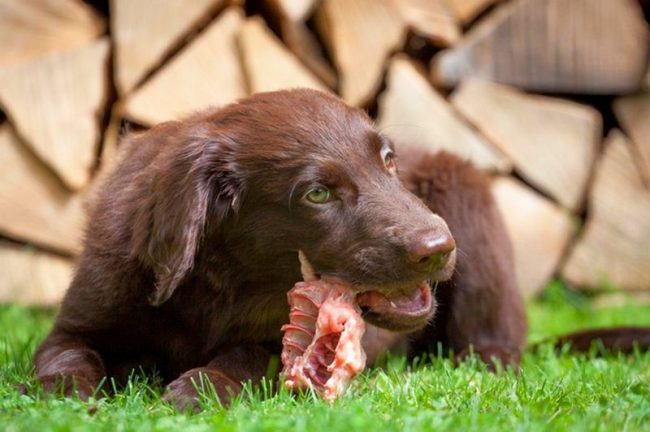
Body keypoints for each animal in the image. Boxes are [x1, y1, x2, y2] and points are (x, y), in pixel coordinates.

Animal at [31, 89, 528, 406]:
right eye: (317, 194)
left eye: (388, 162)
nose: (439, 248)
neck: (222, 283)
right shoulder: (81, 319)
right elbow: (65, 354)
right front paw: (64, 395)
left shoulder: (274, 343)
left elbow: (246, 355)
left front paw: (202, 387)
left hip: (464, 190)